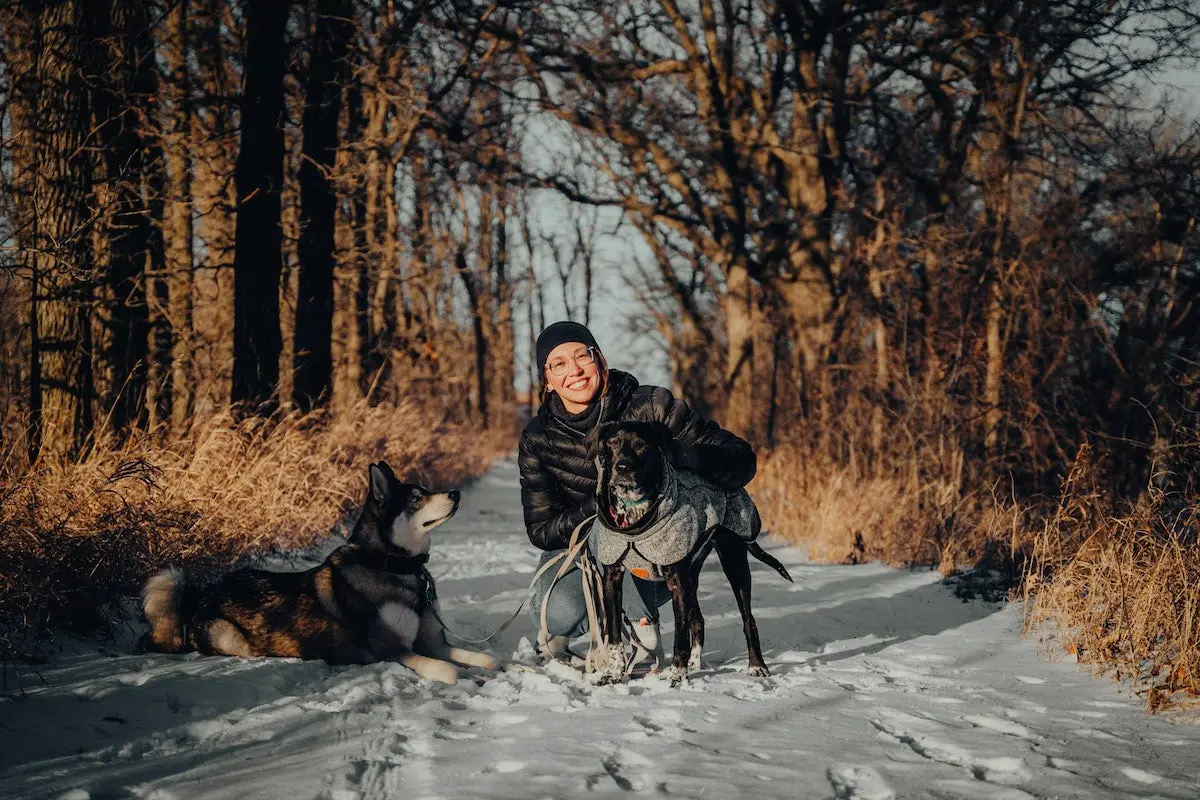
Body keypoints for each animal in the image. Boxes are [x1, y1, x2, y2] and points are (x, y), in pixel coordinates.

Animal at [140, 462, 496, 681]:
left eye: (425, 490)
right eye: (415, 498)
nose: (455, 493)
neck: (394, 565)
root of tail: (203, 592)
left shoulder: (432, 643)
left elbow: (487, 659)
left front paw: (504, 667)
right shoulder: (392, 649)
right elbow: (451, 671)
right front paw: (471, 678)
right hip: (229, 636)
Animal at [592, 422, 796, 686]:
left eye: (642, 444)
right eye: (612, 443)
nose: (622, 467)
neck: (636, 518)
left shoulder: (677, 582)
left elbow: (680, 638)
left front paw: (677, 677)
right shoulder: (611, 578)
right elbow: (615, 632)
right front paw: (613, 674)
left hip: (734, 563)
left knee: (748, 619)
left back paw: (757, 666)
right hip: (693, 575)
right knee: (697, 619)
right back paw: (697, 662)